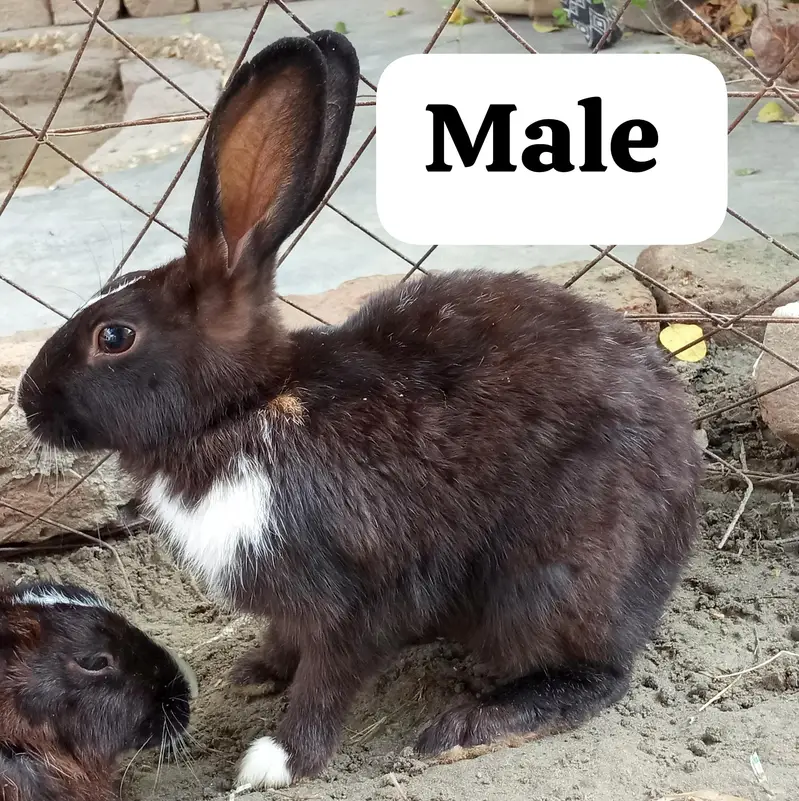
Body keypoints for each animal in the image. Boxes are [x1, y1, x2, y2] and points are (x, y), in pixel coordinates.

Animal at [16, 28, 703, 792]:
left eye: (114, 337)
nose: (26, 401)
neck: (242, 407)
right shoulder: (291, 601)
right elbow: (285, 640)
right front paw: (255, 673)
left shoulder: (356, 597)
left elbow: (328, 681)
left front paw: (275, 761)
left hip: (551, 579)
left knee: (596, 675)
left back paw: (467, 729)